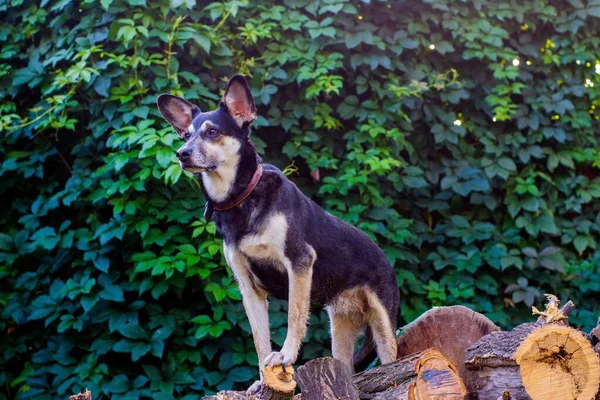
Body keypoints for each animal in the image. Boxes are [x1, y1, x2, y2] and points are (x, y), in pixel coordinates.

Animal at [157, 75, 398, 390]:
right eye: (185, 135)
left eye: (212, 132)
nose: (181, 154)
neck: (242, 198)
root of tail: (385, 258)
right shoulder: (249, 287)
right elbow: (259, 339)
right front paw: (262, 380)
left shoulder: (299, 263)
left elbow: (295, 315)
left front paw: (285, 355)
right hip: (340, 325)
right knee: (344, 366)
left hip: (383, 323)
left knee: (391, 357)